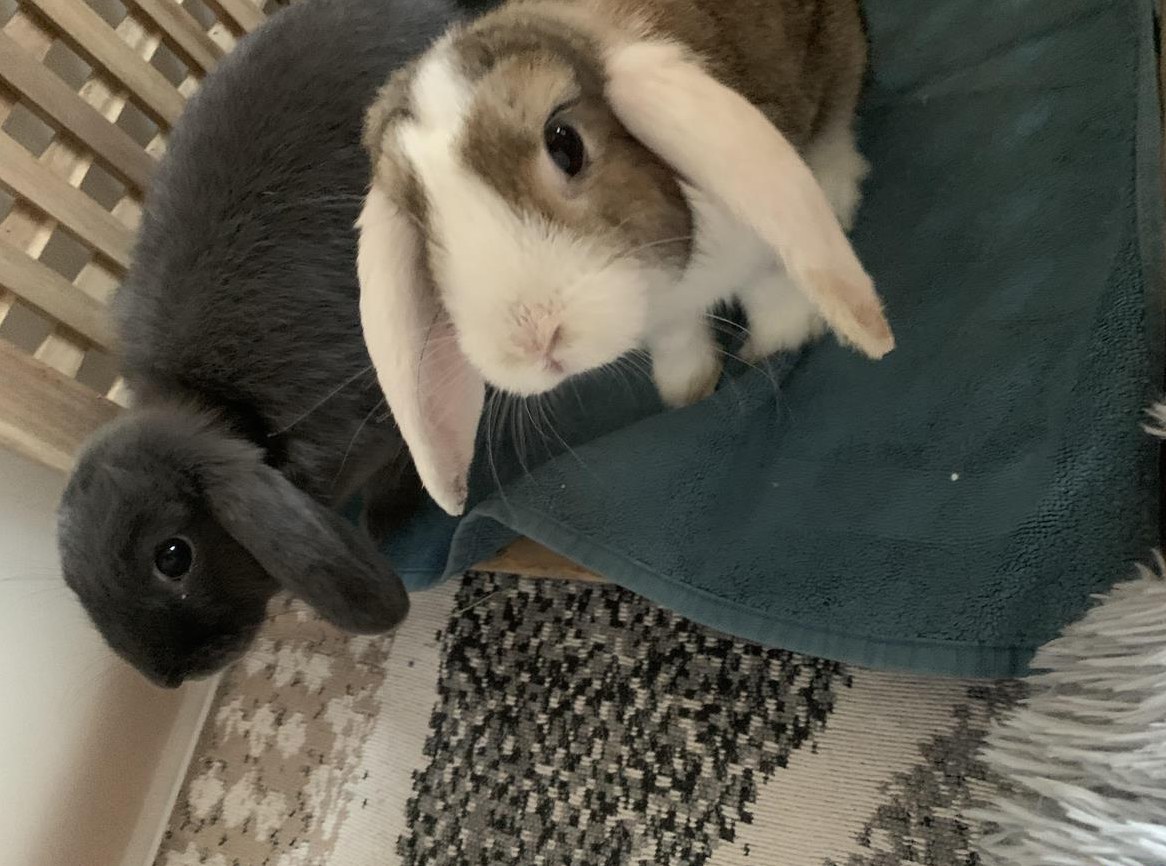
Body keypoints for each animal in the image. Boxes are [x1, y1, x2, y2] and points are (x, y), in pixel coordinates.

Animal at [356, 0, 895, 516]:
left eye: (565, 143)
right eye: (419, 221)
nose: (535, 342)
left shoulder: (756, 245)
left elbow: (767, 287)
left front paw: (778, 343)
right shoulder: (666, 319)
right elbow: (678, 339)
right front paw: (686, 389)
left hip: (836, 57)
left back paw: (835, 191)